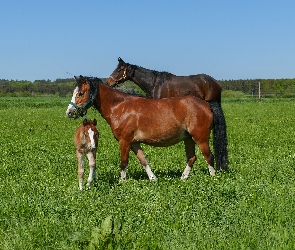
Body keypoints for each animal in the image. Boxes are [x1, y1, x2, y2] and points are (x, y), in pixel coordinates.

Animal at [66, 75, 229, 180]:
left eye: (81, 93)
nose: (69, 112)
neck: (120, 107)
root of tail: (206, 103)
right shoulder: (134, 143)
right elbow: (143, 160)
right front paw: (153, 178)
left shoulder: (124, 141)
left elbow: (123, 162)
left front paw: (121, 182)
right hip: (188, 138)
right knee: (192, 158)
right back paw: (182, 178)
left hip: (200, 138)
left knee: (209, 157)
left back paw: (212, 179)